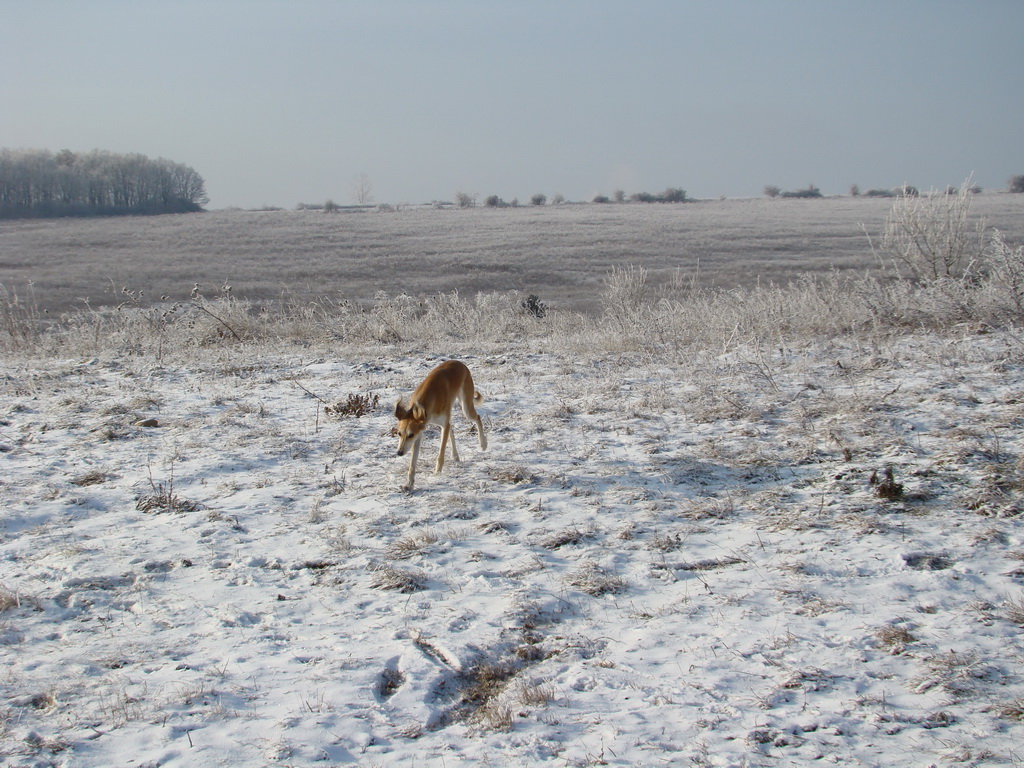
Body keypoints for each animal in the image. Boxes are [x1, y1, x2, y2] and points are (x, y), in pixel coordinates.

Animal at [391, 360, 487, 493]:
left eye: (411, 435)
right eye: (399, 433)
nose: (399, 453)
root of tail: (460, 363)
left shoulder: (438, 426)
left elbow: (441, 452)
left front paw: (437, 472)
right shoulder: (419, 434)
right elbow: (412, 463)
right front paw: (409, 484)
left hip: (466, 407)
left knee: (477, 418)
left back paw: (483, 444)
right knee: (451, 428)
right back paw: (455, 455)